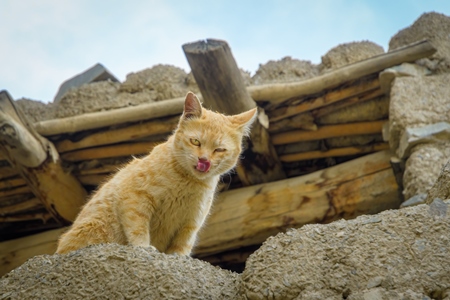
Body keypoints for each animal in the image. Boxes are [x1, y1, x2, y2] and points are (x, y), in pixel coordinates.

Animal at [57, 91, 256, 255]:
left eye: (219, 150)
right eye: (195, 141)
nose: (204, 160)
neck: (188, 183)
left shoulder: (190, 224)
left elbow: (181, 248)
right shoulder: (134, 198)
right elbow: (138, 229)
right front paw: (144, 247)